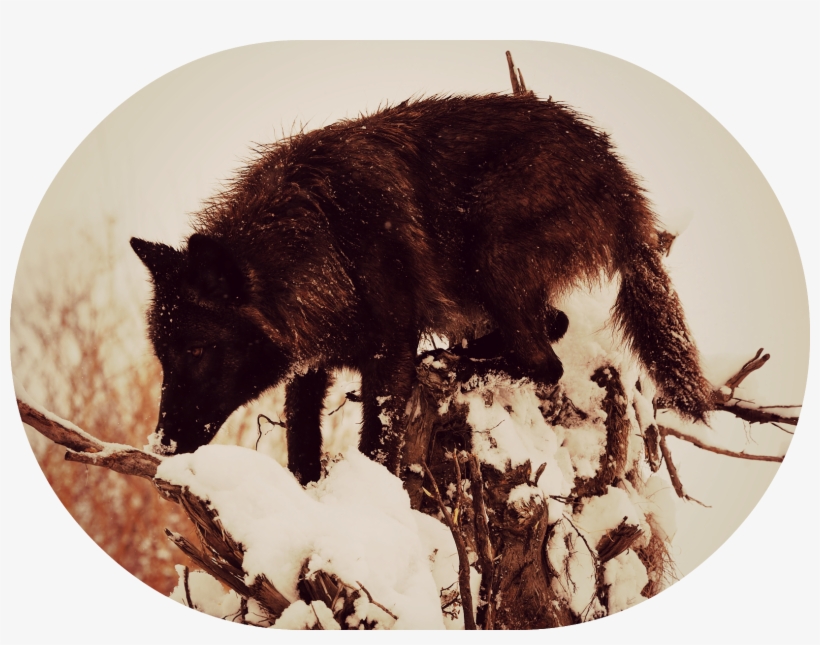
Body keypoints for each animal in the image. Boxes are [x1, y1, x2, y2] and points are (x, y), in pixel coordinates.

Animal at [131, 93, 713, 484]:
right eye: (163, 356)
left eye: (198, 350)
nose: (160, 443)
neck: (326, 240)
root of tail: (618, 175)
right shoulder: (310, 364)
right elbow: (301, 439)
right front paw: (311, 495)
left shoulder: (388, 355)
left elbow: (376, 442)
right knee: (553, 328)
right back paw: (462, 358)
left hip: (491, 251)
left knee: (545, 361)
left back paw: (462, 366)